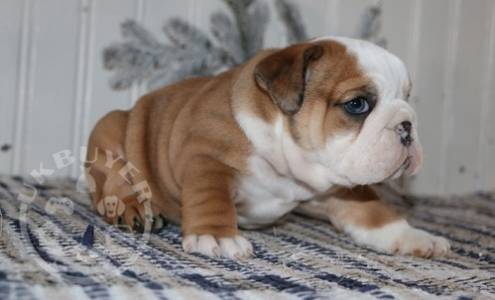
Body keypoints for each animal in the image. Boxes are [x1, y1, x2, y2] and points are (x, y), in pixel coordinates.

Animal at [85, 37, 450, 258]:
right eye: (357, 104)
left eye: (406, 97)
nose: (407, 125)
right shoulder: (206, 156)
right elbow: (211, 197)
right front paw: (217, 236)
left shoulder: (342, 188)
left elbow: (374, 211)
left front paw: (413, 236)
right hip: (110, 133)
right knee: (113, 184)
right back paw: (132, 208)